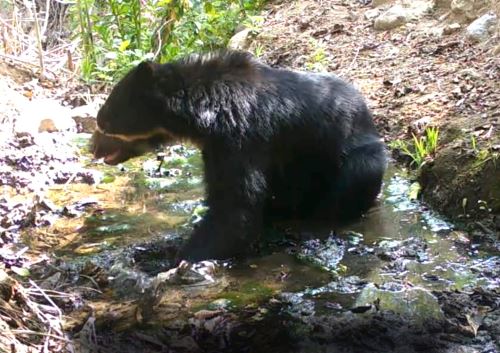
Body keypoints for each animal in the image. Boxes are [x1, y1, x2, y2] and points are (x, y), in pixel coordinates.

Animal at [92, 51, 386, 262]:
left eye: (105, 119)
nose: (93, 148)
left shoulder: (240, 136)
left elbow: (236, 204)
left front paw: (183, 256)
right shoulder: (215, 145)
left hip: (357, 156)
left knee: (354, 179)